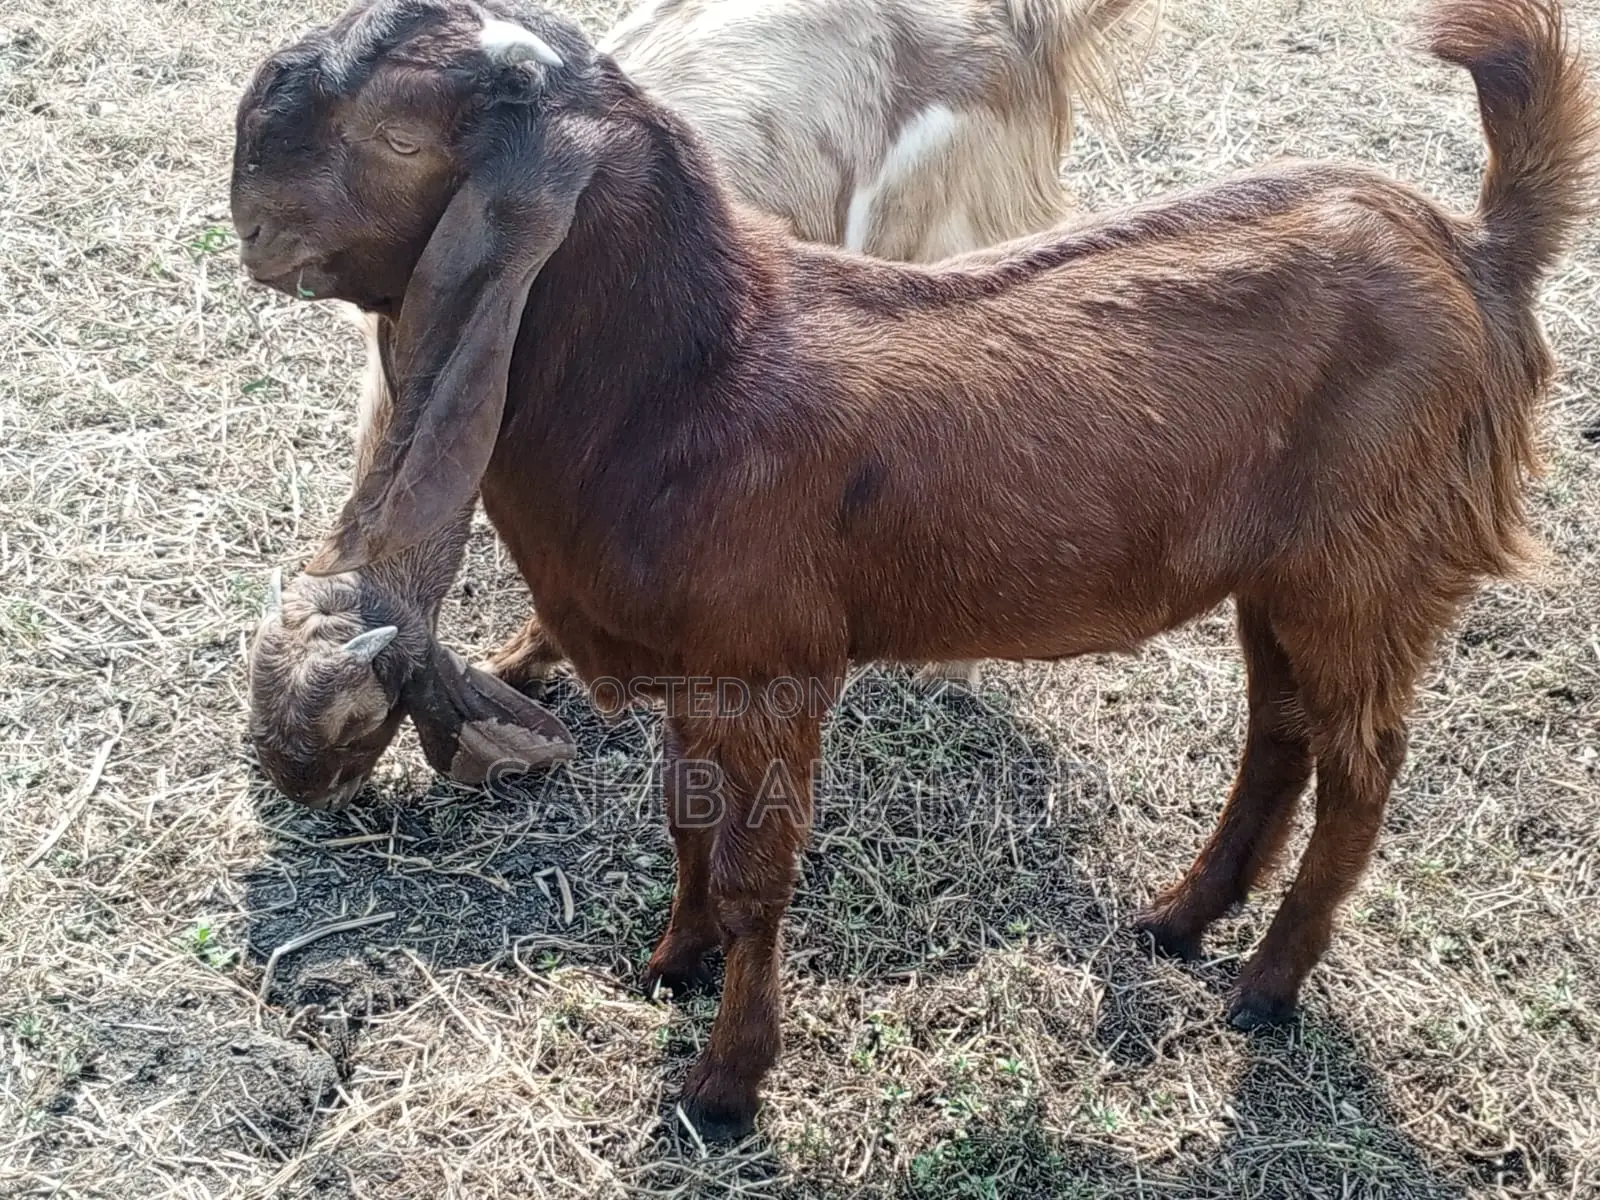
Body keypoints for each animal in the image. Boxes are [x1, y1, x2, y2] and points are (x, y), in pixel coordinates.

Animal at [231, 0, 1595, 1141]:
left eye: (405, 131)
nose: (249, 205)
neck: (695, 379)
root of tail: (1474, 251)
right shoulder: (699, 673)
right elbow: (684, 825)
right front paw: (670, 966)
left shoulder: (775, 674)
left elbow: (755, 878)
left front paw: (724, 1090)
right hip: (1287, 572)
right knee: (1282, 730)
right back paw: (1179, 921)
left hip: (1368, 560)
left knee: (1362, 763)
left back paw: (1265, 986)